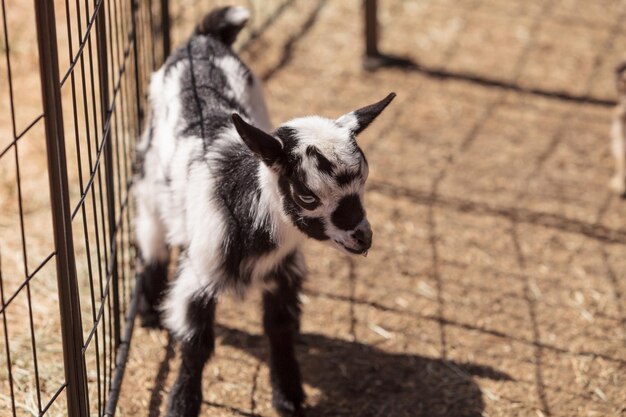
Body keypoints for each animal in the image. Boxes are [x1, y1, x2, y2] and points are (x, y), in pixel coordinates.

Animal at [133, 6, 392, 416]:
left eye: (364, 180)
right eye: (306, 195)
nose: (362, 238)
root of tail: (203, 38)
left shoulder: (284, 272)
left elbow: (280, 330)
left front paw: (289, 396)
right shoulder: (197, 276)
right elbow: (196, 345)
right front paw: (181, 403)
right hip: (149, 169)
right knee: (150, 232)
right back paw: (147, 309)